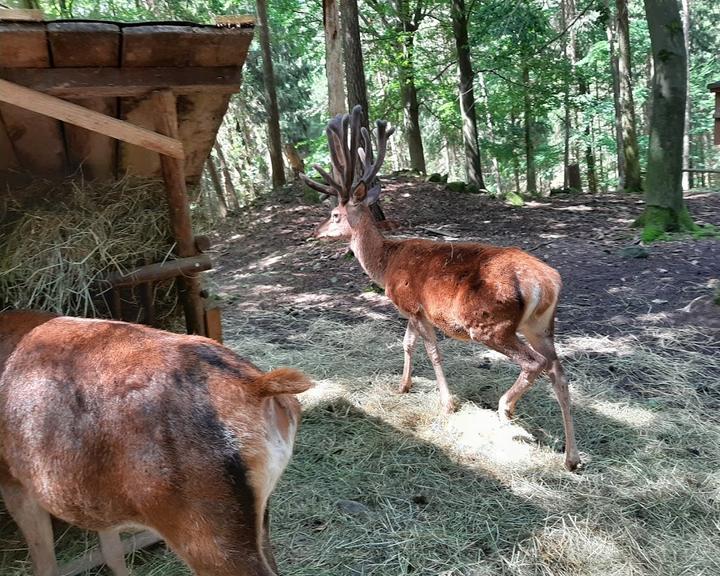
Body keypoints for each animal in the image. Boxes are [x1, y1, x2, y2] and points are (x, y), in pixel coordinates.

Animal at [0, 312, 310, 572]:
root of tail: (257, 386)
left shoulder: (12, 479)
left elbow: (45, 563)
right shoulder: (96, 497)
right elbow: (112, 552)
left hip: (204, 526)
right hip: (258, 514)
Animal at [300, 106, 584, 470]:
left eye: (335, 214)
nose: (315, 231)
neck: (385, 265)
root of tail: (546, 283)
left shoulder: (412, 304)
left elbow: (432, 351)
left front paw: (447, 402)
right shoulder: (409, 309)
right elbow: (407, 344)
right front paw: (403, 386)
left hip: (491, 324)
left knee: (535, 363)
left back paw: (505, 408)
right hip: (541, 325)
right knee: (559, 371)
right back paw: (571, 458)